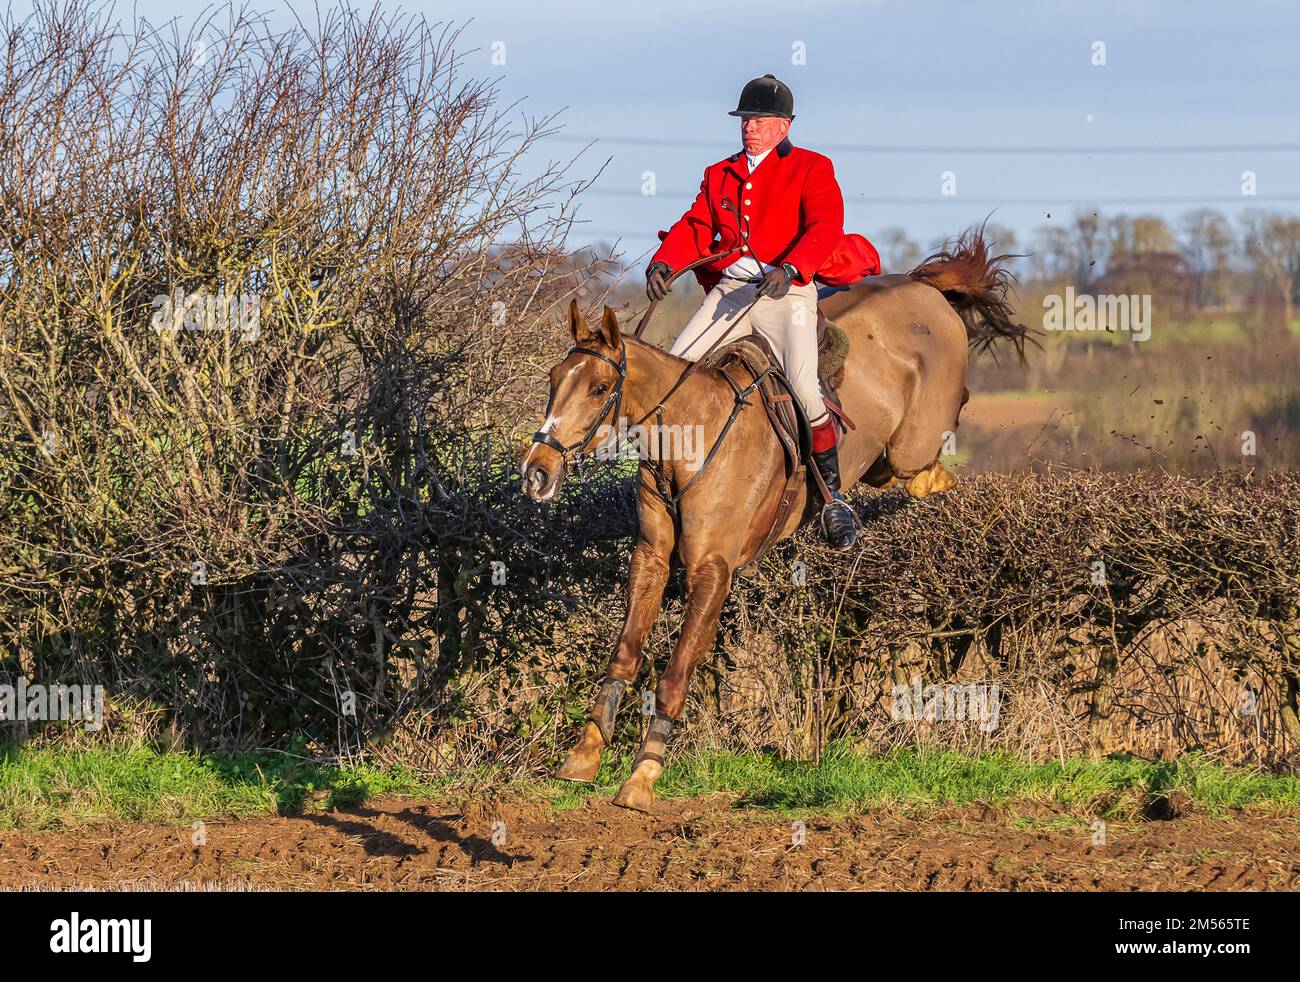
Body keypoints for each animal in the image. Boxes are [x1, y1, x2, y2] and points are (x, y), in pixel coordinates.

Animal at [514, 230, 1024, 816]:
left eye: (600, 388)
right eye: (554, 380)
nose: (537, 471)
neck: (688, 440)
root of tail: (921, 288)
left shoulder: (712, 571)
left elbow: (675, 674)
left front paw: (643, 774)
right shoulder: (651, 556)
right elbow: (624, 655)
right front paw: (586, 752)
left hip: (915, 440)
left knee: (925, 456)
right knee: (894, 471)